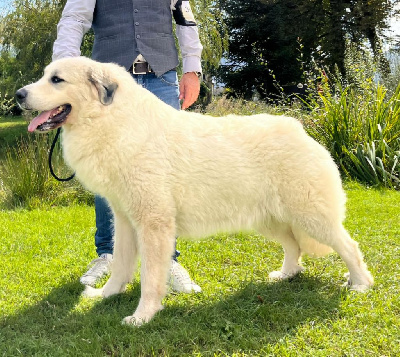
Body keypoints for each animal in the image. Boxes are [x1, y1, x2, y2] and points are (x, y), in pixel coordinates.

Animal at [14, 56, 372, 326]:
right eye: (45, 76)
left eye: (57, 80)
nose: (18, 95)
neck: (113, 121)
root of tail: (300, 130)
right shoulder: (125, 221)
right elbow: (120, 264)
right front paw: (107, 294)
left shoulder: (153, 223)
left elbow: (150, 277)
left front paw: (142, 316)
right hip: (271, 219)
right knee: (294, 247)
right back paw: (285, 275)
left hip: (310, 216)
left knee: (349, 246)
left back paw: (360, 284)